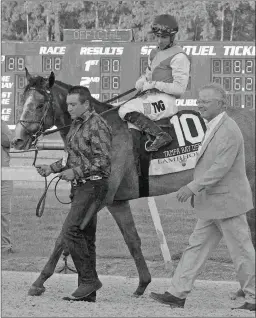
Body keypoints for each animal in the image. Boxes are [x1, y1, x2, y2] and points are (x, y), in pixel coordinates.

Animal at [12, 69, 254, 298]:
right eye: (22, 100)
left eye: (40, 104)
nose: (18, 139)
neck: (105, 125)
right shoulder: (116, 201)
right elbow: (132, 240)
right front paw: (143, 284)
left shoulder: (102, 196)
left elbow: (63, 236)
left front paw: (39, 282)